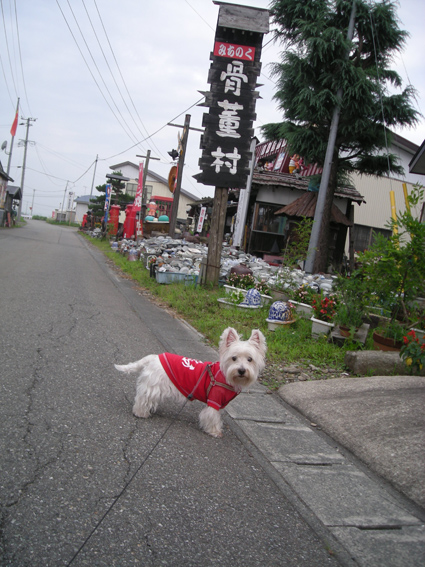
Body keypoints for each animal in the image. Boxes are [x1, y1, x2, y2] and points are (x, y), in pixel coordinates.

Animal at [112, 328, 264, 440]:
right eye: (234, 358)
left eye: (250, 359)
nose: (242, 370)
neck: (226, 375)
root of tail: (154, 357)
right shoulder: (214, 400)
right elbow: (212, 416)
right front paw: (214, 431)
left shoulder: (220, 402)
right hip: (152, 387)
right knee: (142, 399)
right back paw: (141, 413)